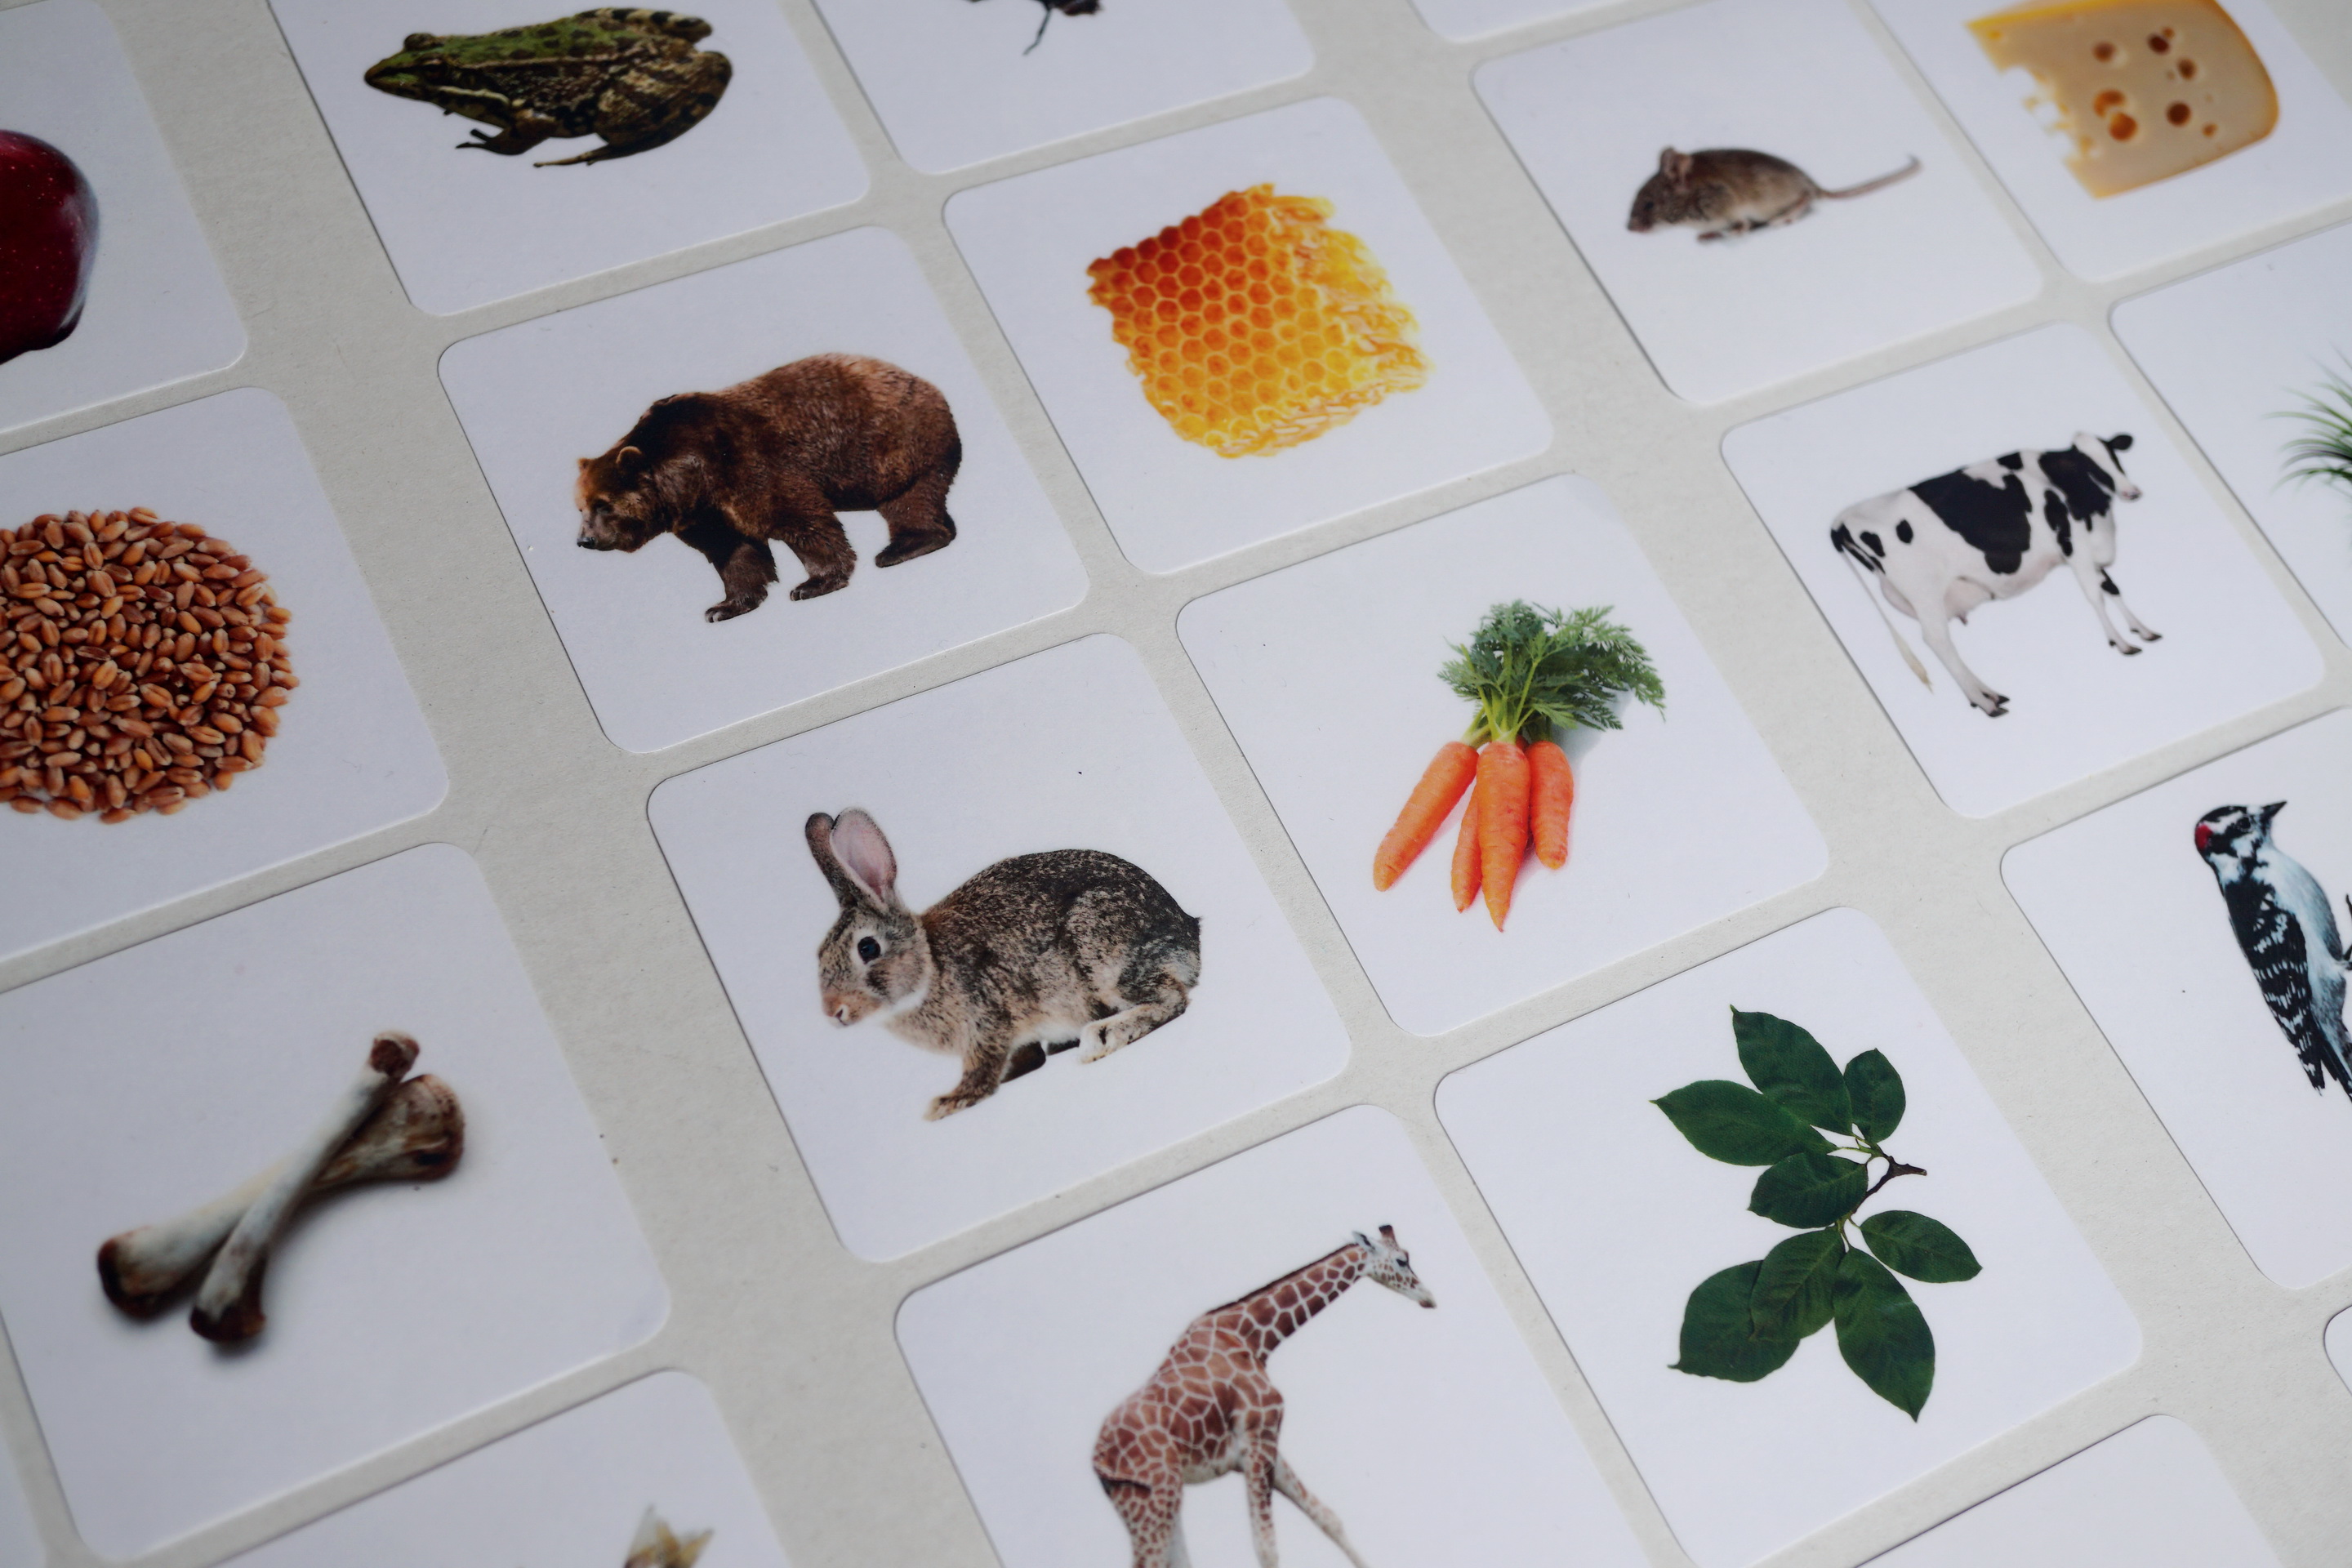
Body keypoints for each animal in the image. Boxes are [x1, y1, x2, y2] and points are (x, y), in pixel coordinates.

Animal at [575, 352, 962, 623]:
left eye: (603, 504)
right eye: (580, 507)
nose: (584, 540)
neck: (689, 478)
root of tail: (922, 380)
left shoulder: (744, 464)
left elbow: (798, 517)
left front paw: (812, 584)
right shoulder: (706, 514)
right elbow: (734, 552)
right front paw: (723, 607)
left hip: (898, 446)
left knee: (910, 500)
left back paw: (902, 547)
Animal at [807, 809, 1204, 1121]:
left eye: (868, 948)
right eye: (819, 956)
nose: (833, 1012)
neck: (930, 965)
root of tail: (1189, 932)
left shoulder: (986, 1019)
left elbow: (983, 1069)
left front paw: (948, 1102)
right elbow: (1025, 1058)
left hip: (1102, 955)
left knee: (1171, 998)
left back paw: (1101, 1038)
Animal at [1092, 1225, 1436, 1568]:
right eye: (1402, 1260)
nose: (1429, 1298)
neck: (1253, 1337)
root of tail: (1098, 1457)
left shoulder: (1263, 1445)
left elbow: (1328, 1518)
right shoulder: (1258, 1439)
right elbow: (1266, 1547)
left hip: (1148, 1496)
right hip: (1155, 1496)